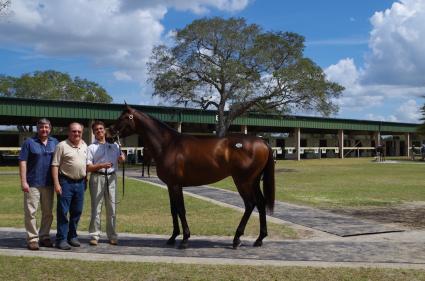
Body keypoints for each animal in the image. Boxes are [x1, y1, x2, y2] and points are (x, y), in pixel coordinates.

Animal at [109, 106, 274, 248]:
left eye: (124, 117)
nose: (109, 133)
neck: (168, 145)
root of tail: (263, 142)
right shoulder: (170, 185)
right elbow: (173, 210)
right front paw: (172, 237)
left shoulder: (176, 185)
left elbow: (181, 210)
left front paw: (185, 239)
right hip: (253, 181)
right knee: (260, 203)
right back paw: (259, 239)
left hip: (243, 181)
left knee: (250, 204)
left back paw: (237, 239)